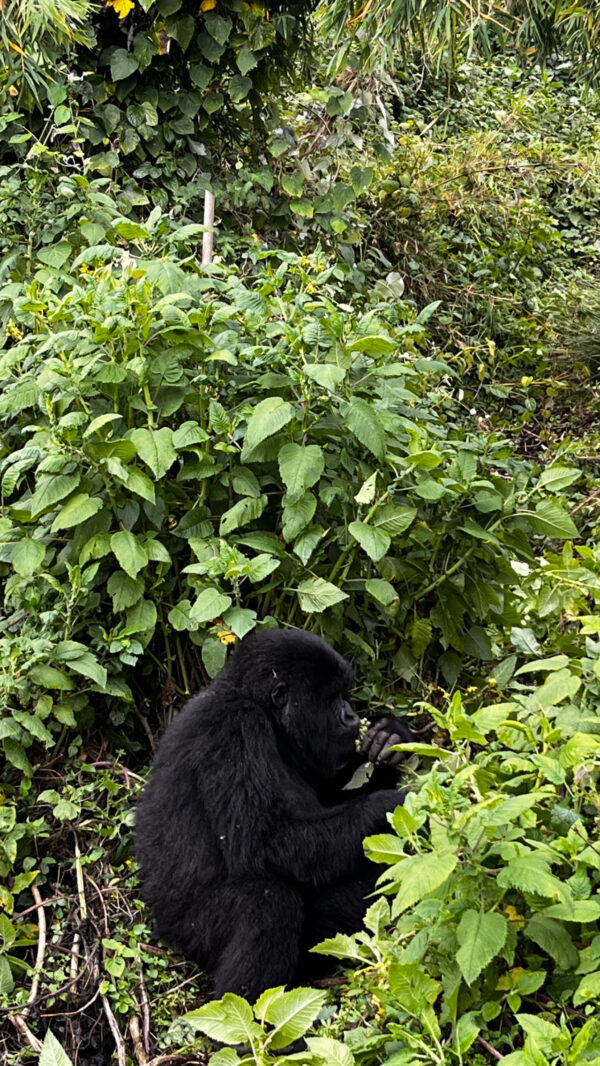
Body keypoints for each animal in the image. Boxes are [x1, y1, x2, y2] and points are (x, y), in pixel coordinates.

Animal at [136, 622, 415, 997]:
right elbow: (263, 843)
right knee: (269, 902)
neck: (263, 711)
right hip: (189, 930)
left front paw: (389, 738)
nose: (351, 716)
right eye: (332, 698)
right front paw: (390, 804)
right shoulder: (235, 728)